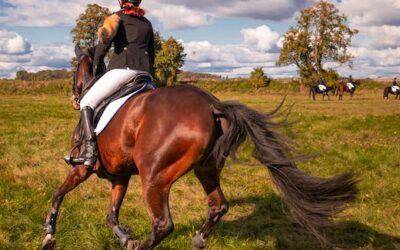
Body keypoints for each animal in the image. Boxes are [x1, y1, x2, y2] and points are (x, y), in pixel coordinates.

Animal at [42, 45, 358, 250]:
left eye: (74, 68)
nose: (74, 97)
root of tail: (212, 106)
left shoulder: (82, 169)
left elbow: (58, 194)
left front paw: (49, 235)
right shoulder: (119, 177)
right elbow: (111, 215)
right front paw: (123, 237)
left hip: (154, 177)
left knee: (163, 224)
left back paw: (144, 245)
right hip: (206, 169)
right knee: (218, 206)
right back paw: (197, 240)